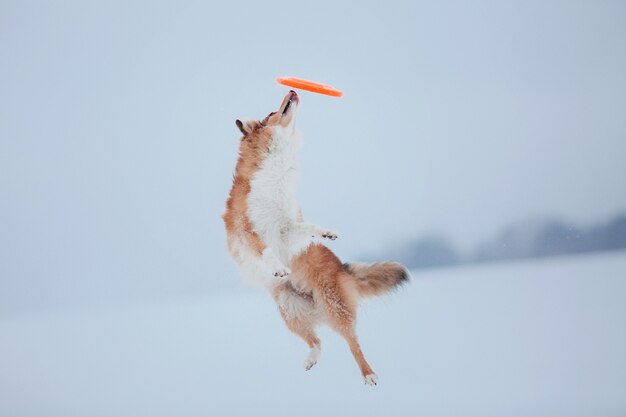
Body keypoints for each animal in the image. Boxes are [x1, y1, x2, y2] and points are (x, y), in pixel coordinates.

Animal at [222, 90, 408, 384]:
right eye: (271, 112)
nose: (293, 91)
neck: (274, 176)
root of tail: (343, 270)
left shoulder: (287, 226)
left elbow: (305, 226)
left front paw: (326, 233)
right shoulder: (247, 230)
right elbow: (266, 250)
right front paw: (278, 268)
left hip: (332, 306)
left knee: (352, 343)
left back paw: (368, 374)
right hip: (289, 310)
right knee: (317, 341)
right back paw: (311, 361)